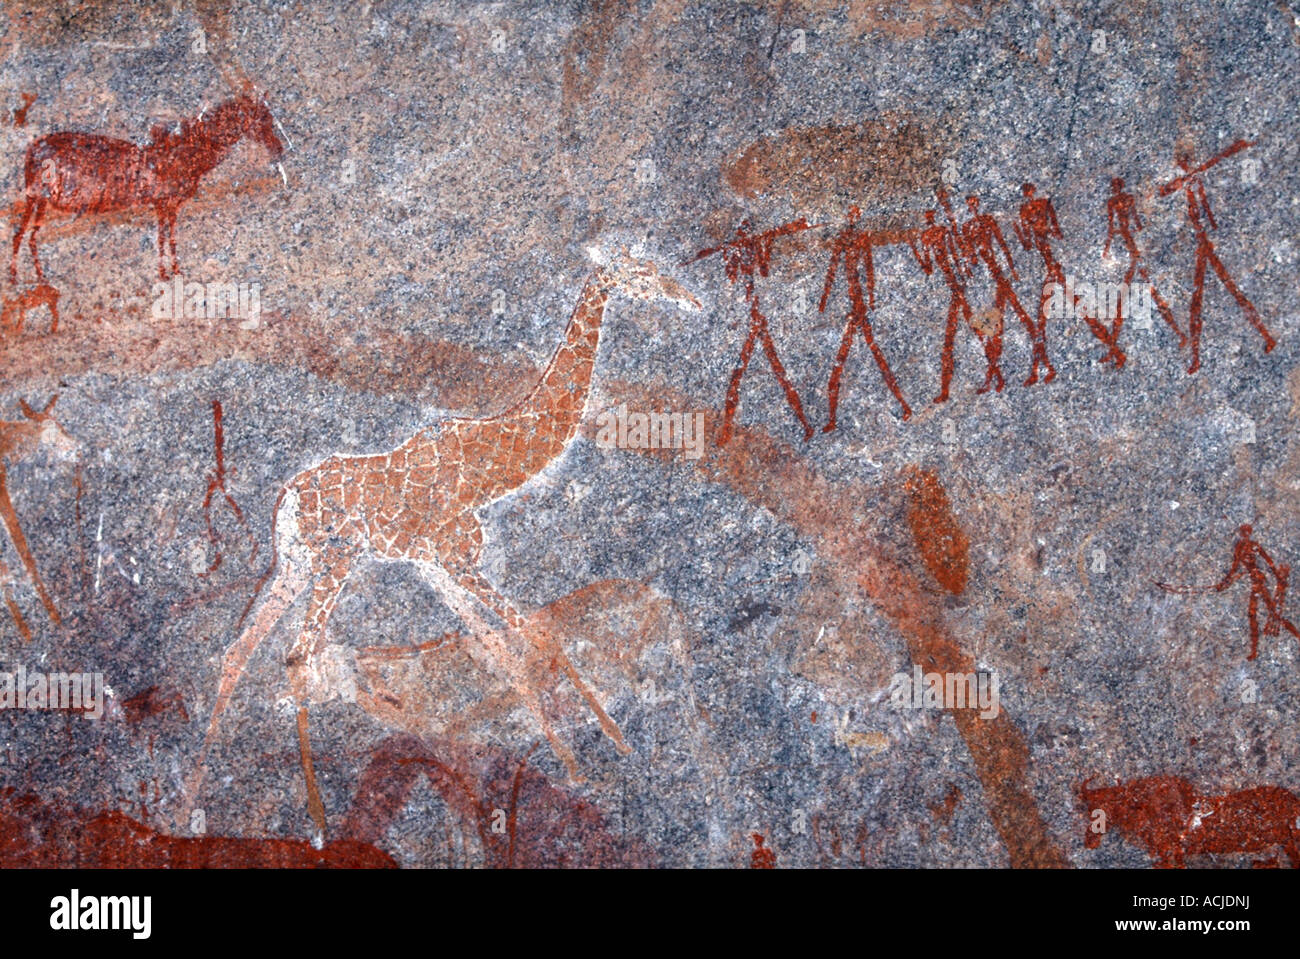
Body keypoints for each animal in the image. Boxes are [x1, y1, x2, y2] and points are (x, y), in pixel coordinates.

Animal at [9, 89, 284, 283]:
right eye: (264, 119)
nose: (279, 149)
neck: (188, 156)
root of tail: (31, 150)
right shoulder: (164, 203)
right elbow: (163, 238)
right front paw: (165, 273)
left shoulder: (169, 206)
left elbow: (168, 238)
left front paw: (174, 271)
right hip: (36, 196)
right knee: (21, 234)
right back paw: (17, 278)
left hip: (42, 201)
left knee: (29, 236)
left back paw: (37, 277)